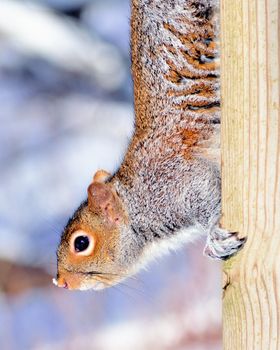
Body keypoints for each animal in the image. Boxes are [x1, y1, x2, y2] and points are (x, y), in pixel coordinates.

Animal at [53, 0, 245, 290]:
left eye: (81, 243)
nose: (60, 281)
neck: (135, 202)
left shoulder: (176, 183)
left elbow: (207, 196)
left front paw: (215, 238)